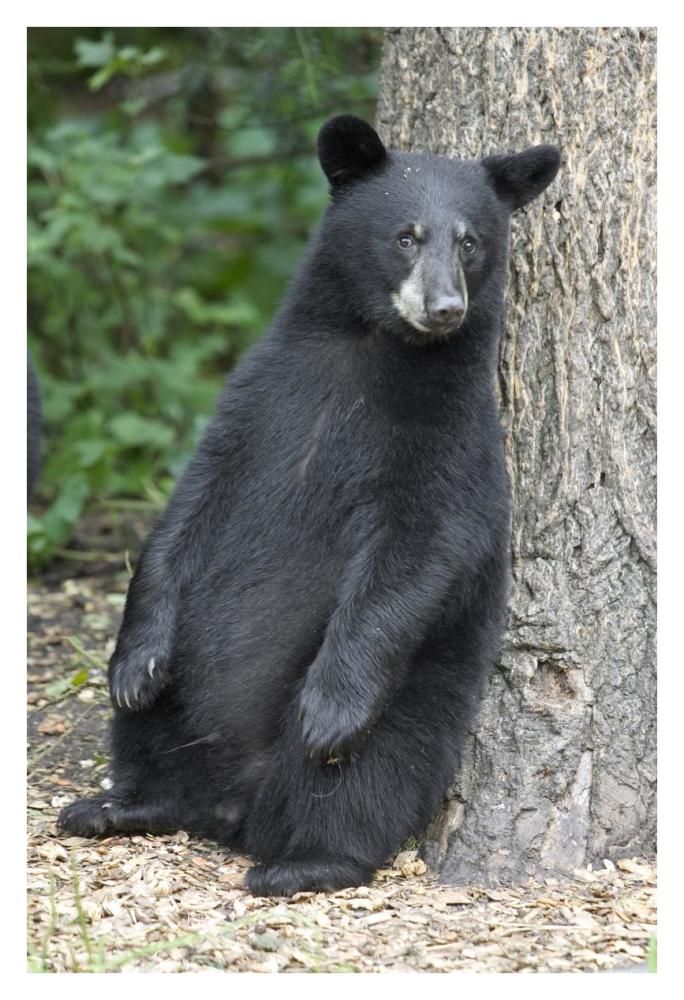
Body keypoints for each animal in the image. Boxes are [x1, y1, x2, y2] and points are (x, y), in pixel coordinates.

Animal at [58, 115, 560, 896]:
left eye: (471, 241)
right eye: (406, 236)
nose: (445, 308)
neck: (371, 348)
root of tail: (232, 808)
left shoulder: (450, 440)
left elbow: (418, 550)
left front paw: (330, 709)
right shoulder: (257, 400)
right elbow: (187, 509)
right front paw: (133, 662)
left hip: (412, 700)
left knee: (363, 778)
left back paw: (307, 859)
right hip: (185, 695)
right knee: (152, 733)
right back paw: (118, 804)